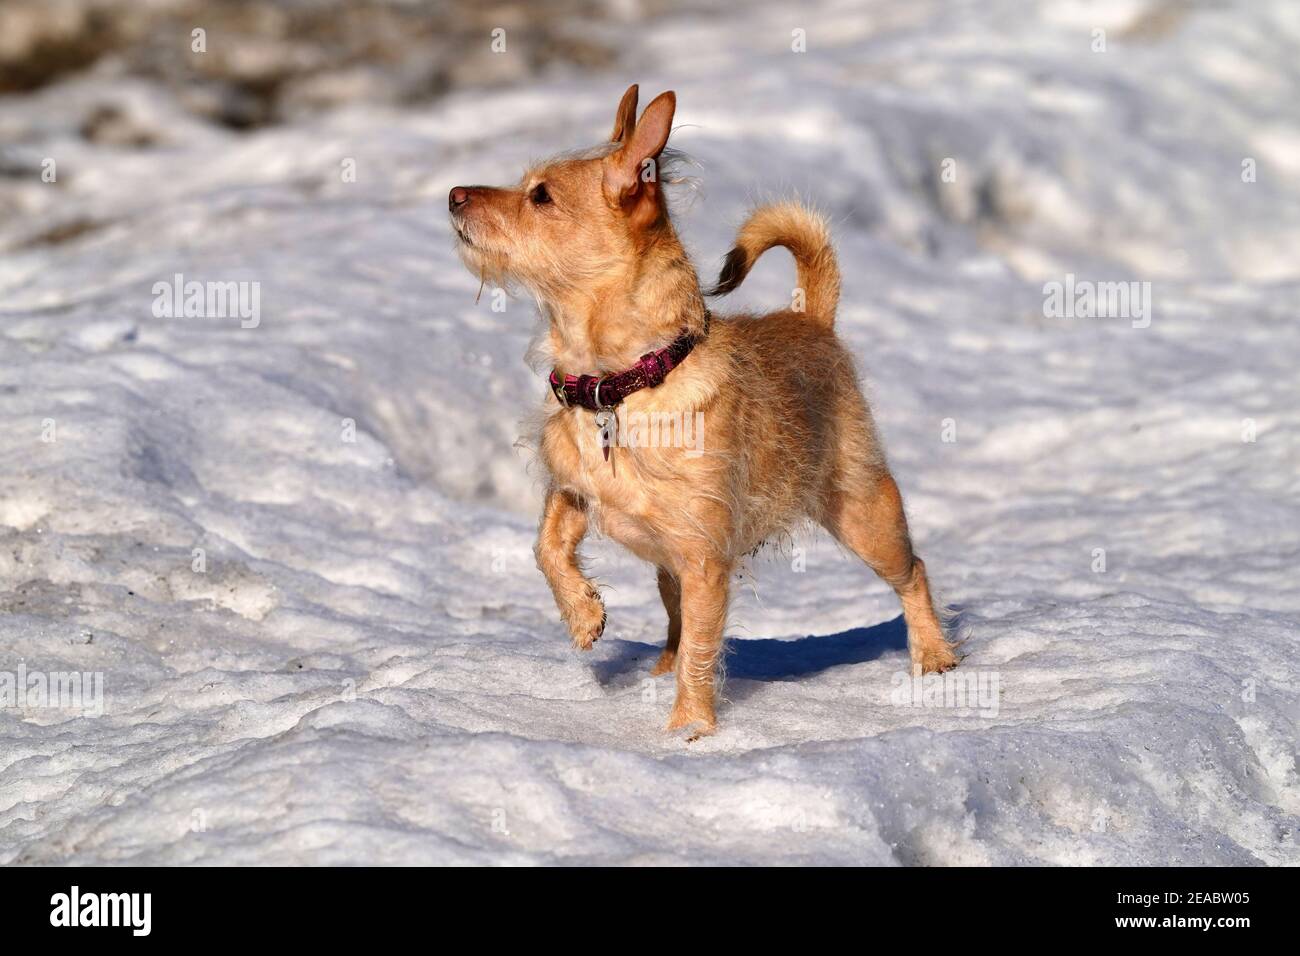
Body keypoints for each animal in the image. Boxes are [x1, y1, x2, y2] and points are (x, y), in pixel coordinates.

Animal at [452, 85, 961, 738]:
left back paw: (935, 656)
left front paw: (689, 731)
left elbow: (701, 647)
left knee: (914, 570)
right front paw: (583, 615)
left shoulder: (702, 561)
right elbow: (546, 547)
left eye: (540, 196)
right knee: (673, 623)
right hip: (671, 567)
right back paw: (658, 669)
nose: (453, 194)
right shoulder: (571, 493)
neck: (620, 384)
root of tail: (812, 320)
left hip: (865, 515)